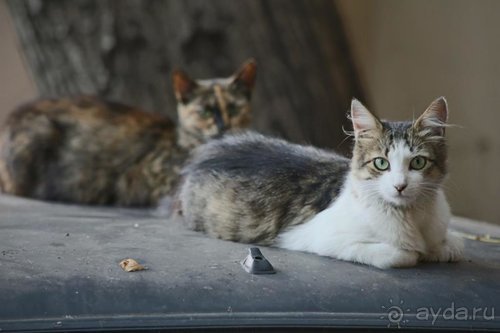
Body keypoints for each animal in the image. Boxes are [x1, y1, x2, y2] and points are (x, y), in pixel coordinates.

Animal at [180, 97, 464, 268]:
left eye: (418, 163)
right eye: (381, 164)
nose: (400, 186)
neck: (413, 217)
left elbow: (452, 246)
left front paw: (438, 249)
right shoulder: (316, 237)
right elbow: (401, 254)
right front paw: (419, 253)